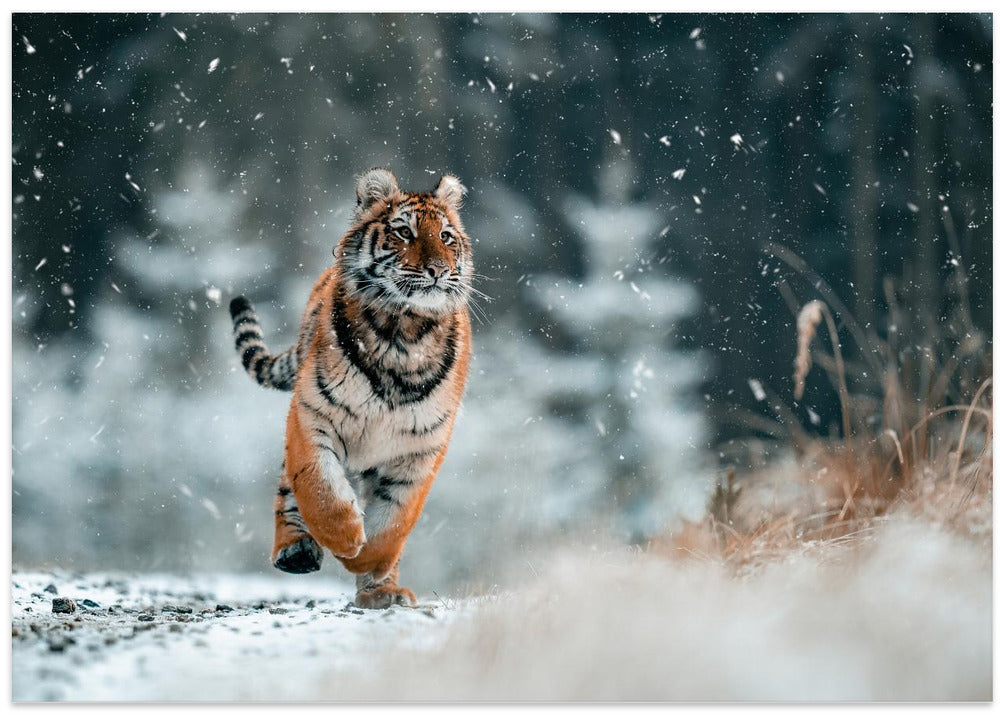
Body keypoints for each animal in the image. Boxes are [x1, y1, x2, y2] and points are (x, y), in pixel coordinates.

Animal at [228, 168, 473, 609]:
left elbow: (396, 520)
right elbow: (320, 489)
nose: (437, 270)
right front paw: (345, 539)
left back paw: (383, 592)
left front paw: (367, 562)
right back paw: (295, 551)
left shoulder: (421, 449)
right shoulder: (312, 414)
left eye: (446, 237)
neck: (403, 332)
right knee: (288, 488)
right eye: (404, 232)